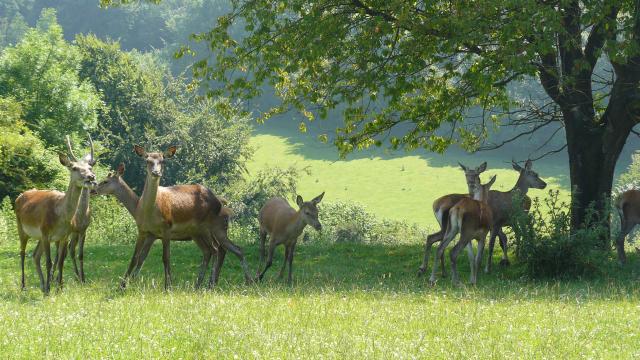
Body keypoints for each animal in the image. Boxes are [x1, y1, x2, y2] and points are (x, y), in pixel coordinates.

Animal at [15, 134, 97, 294]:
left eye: (90, 167)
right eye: (74, 168)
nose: (91, 177)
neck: (61, 216)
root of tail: (19, 196)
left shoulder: (64, 236)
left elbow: (60, 262)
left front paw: (59, 288)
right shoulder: (46, 232)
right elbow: (49, 261)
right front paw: (49, 290)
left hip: (39, 236)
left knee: (35, 255)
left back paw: (41, 284)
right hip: (22, 228)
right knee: (22, 253)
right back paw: (24, 286)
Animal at [120, 146, 252, 290]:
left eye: (163, 161)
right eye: (147, 160)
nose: (156, 172)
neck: (148, 212)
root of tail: (219, 202)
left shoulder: (166, 228)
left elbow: (166, 257)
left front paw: (168, 287)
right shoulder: (143, 230)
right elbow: (134, 257)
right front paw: (122, 286)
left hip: (207, 227)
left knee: (217, 249)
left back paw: (213, 284)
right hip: (198, 232)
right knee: (211, 250)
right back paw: (200, 285)